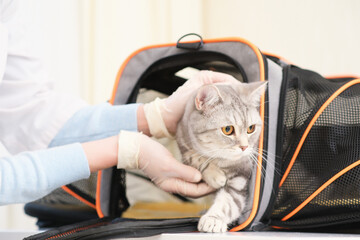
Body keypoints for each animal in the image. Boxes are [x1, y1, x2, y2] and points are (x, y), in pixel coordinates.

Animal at [176, 81, 266, 232]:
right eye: (228, 129)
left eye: (251, 128)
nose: (244, 147)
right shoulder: (183, 144)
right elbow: (195, 157)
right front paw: (215, 176)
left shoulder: (240, 178)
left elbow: (228, 203)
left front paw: (213, 219)